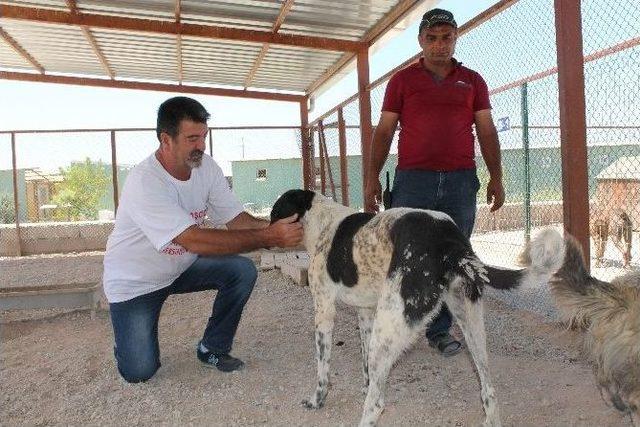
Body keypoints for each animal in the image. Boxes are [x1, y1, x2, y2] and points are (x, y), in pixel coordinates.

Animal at [270, 191, 564, 427]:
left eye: (275, 211)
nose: (269, 228)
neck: (320, 219)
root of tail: (449, 242)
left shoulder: (324, 311)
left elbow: (323, 368)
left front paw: (317, 400)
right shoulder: (365, 314)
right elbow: (367, 371)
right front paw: (365, 385)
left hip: (389, 327)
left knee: (377, 404)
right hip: (470, 323)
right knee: (488, 390)